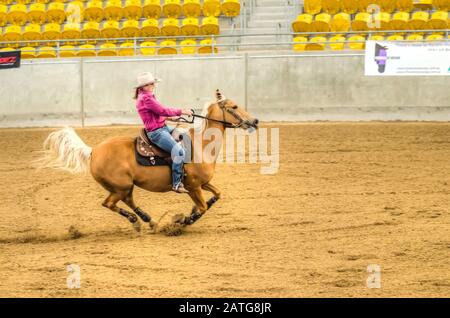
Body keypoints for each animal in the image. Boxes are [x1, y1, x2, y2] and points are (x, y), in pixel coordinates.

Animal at [38, 90, 260, 232]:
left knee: (126, 201)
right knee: (109, 203)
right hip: (120, 187)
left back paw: (148, 221)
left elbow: (217, 195)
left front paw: (191, 212)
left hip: (125, 186)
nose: (255, 121)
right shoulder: (193, 186)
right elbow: (203, 207)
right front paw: (184, 220)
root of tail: (93, 151)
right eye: (234, 106)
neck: (201, 145)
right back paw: (137, 221)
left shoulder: (204, 183)